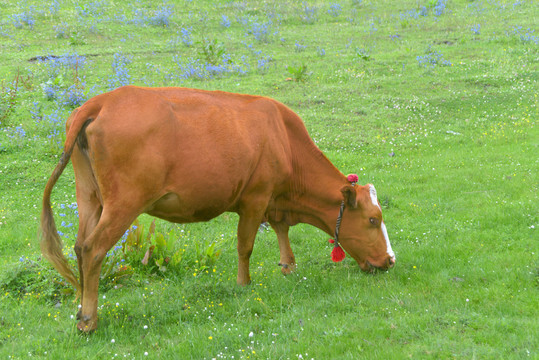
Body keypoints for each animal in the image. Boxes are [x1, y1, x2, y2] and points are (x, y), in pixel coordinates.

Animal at [41, 85, 396, 332]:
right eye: (372, 219)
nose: (390, 260)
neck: (283, 137)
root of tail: (101, 101)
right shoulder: (255, 198)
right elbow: (245, 246)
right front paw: (244, 284)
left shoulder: (273, 199)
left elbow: (281, 228)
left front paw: (288, 265)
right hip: (123, 204)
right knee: (93, 249)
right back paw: (88, 319)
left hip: (90, 197)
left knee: (79, 246)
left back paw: (81, 308)